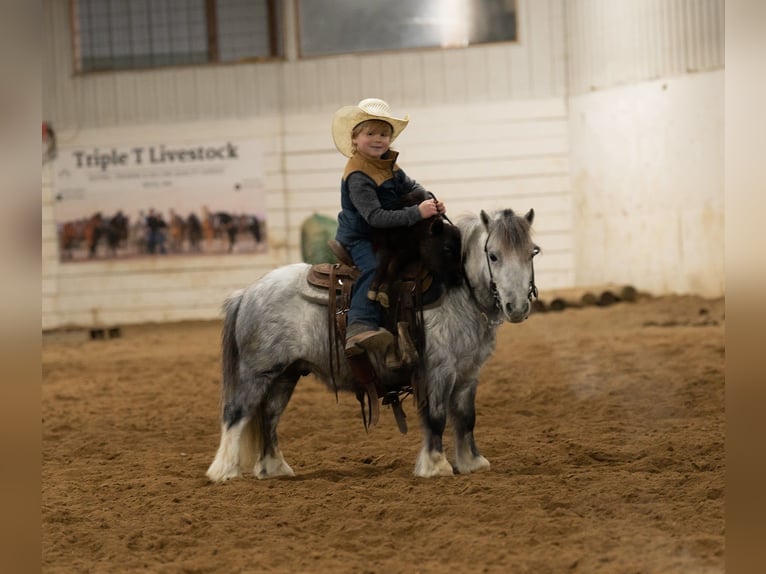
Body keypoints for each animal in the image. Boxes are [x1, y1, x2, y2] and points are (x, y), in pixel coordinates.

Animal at [206, 207, 539, 481]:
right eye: (493, 255)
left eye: (532, 253)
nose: (517, 306)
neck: (457, 290)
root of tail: (247, 292)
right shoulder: (438, 371)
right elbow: (436, 417)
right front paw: (435, 466)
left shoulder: (468, 374)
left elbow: (467, 418)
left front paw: (472, 463)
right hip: (257, 373)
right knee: (236, 413)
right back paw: (224, 472)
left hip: (286, 374)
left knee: (269, 416)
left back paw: (274, 468)